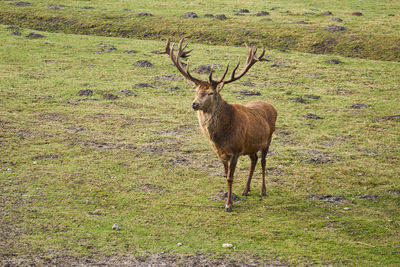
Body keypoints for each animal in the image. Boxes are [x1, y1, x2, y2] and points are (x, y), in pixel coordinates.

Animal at [158, 38, 276, 213]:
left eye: (211, 93)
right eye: (196, 91)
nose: (194, 104)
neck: (220, 137)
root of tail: (273, 107)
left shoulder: (235, 150)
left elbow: (230, 177)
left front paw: (229, 205)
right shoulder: (221, 152)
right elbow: (225, 175)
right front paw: (229, 198)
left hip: (268, 140)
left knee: (263, 161)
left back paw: (263, 190)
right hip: (250, 146)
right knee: (254, 160)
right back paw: (246, 189)